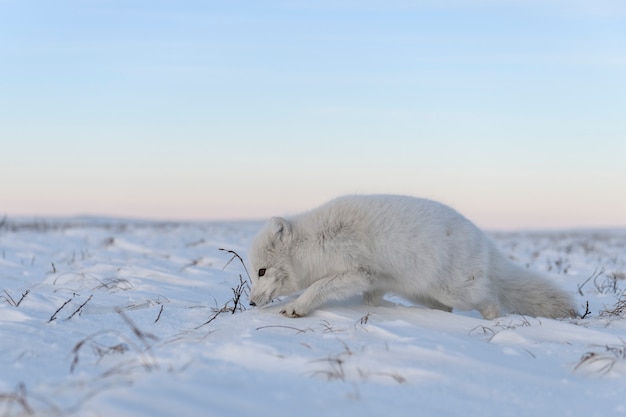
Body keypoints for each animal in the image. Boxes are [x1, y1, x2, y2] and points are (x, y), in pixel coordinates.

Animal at [246, 194, 576, 318]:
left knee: (491, 300)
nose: (249, 303)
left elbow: (318, 287)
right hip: (423, 292)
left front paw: (296, 307)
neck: (313, 241)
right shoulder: (375, 281)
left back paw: (494, 323)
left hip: (456, 290)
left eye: (261, 271)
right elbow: (371, 301)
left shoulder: (357, 272)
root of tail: (483, 238)